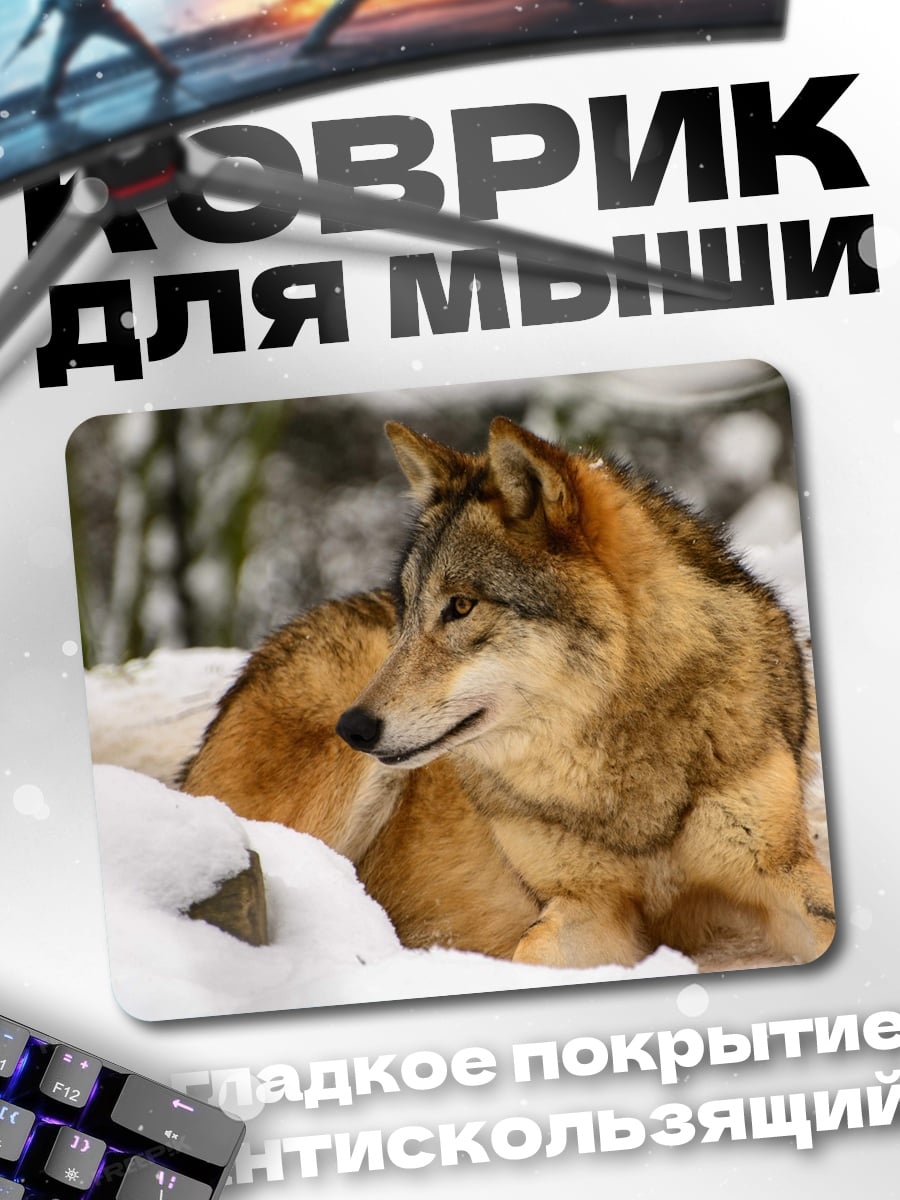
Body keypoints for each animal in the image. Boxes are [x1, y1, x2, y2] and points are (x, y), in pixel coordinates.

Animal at [181, 416, 835, 971]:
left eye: (461, 605)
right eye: (409, 607)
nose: (354, 728)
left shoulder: (781, 872)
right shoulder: (585, 904)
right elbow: (532, 955)